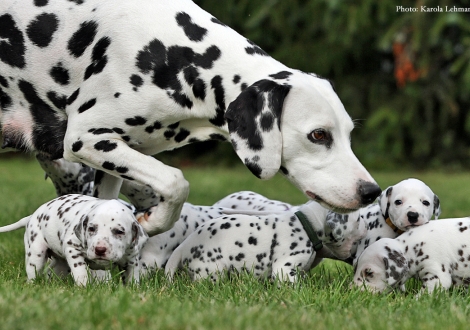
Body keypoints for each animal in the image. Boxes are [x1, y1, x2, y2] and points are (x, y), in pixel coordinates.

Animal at [0, 0, 382, 236]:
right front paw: (153, 222)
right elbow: (176, 182)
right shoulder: (86, 138)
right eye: (318, 135)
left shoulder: (114, 158)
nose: (371, 192)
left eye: (348, 134)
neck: (175, 55)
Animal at [0, 195, 149, 284]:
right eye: (91, 229)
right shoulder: (73, 248)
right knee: (33, 272)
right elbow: (80, 270)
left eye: (119, 231)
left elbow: (132, 277)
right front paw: (83, 286)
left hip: (61, 264)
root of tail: (32, 216)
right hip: (36, 255)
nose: (100, 249)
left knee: (51, 272)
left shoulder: (131, 259)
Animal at [165, 201, 368, 284]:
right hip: (212, 270)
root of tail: (183, 247)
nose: (366, 230)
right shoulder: (284, 268)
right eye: (358, 220)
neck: (306, 224)